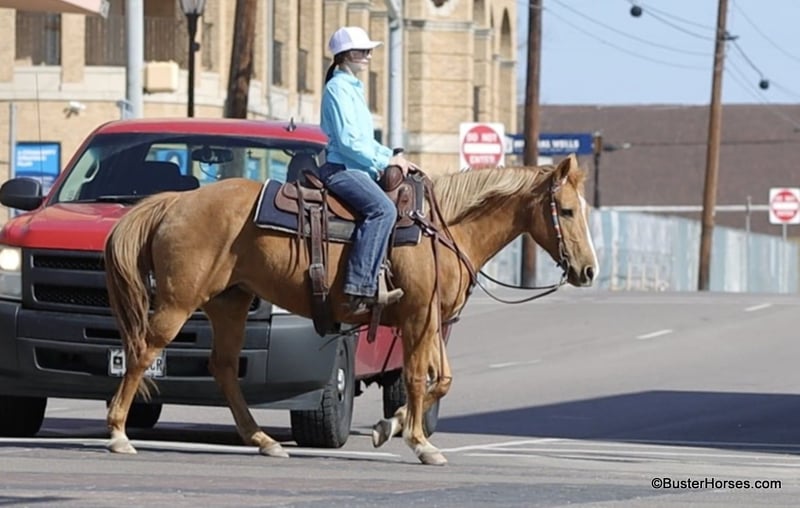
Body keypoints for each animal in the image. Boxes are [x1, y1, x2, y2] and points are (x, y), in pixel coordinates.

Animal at [103, 153, 598, 466]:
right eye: (567, 211)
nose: (589, 270)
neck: (441, 230)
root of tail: (175, 201)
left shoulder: (432, 320)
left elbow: (442, 379)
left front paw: (388, 427)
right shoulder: (417, 318)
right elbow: (416, 378)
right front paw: (420, 443)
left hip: (231, 303)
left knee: (223, 367)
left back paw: (263, 440)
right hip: (179, 301)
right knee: (143, 352)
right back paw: (118, 434)